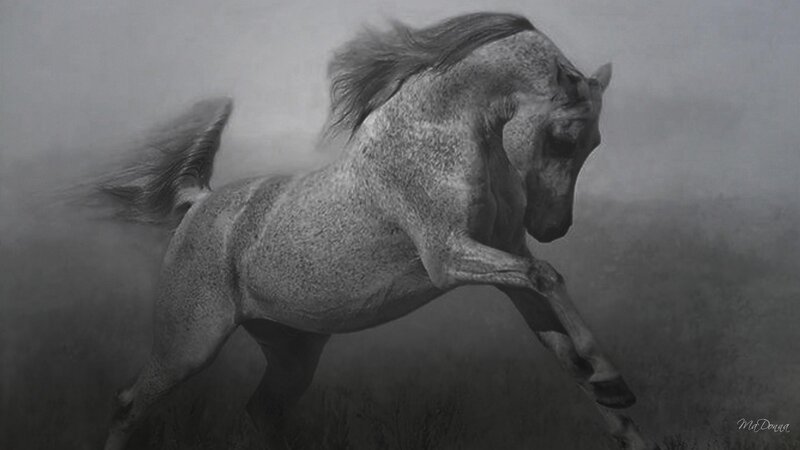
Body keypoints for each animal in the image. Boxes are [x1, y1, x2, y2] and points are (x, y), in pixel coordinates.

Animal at [95, 12, 649, 450]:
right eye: (564, 138)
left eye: (594, 143)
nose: (554, 227)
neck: (443, 132)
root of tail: (199, 202)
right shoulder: (449, 258)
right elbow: (547, 275)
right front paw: (612, 377)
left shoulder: (504, 252)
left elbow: (564, 347)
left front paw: (615, 398)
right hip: (189, 345)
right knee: (127, 404)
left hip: (291, 351)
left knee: (261, 412)